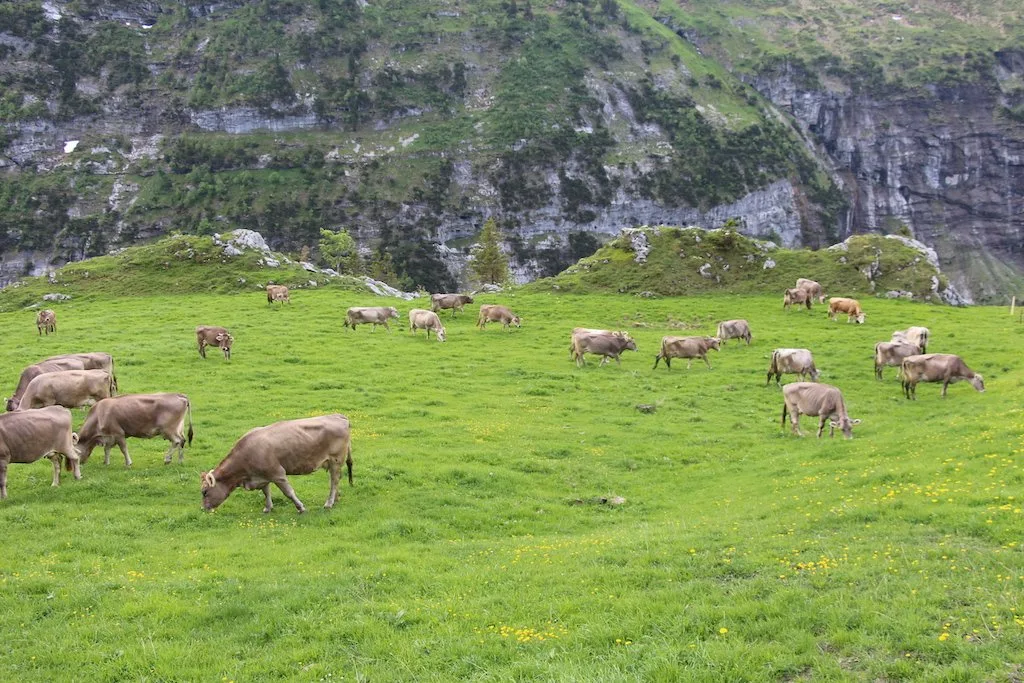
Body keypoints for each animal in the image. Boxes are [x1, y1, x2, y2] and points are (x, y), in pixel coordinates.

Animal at [200, 414, 352, 514]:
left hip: (335, 460)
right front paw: (268, 507)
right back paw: (335, 500)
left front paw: (300, 507)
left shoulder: (278, 473)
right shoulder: (262, 475)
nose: (203, 508)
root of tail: (338, 416)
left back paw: (329, 503)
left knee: (334, 481)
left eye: (204, 492)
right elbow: (266, 491)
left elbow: (288, 492)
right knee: (336, 481)